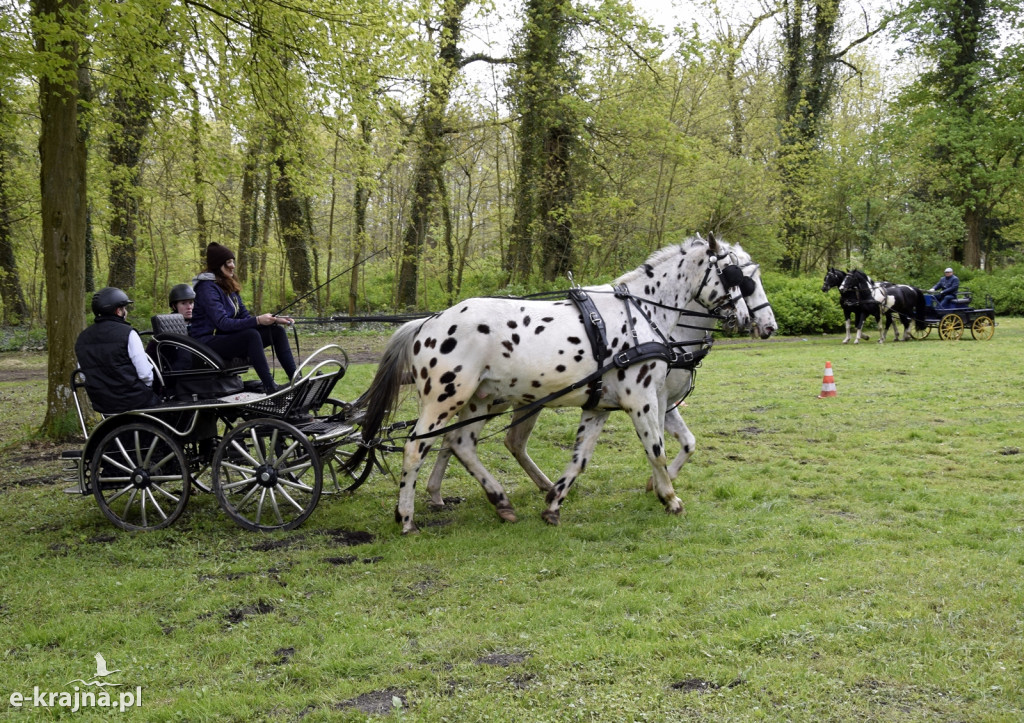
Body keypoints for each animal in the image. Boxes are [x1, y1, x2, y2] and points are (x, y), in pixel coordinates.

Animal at [348, 233, 749, 532]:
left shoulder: (599, 405)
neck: (641, 313)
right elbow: (657, 450)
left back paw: (501, 501)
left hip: (479, 401)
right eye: (733, 274)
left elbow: (581, 458)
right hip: (445, 400)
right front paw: (670, 498)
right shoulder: (642, 399)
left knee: (461, 445)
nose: (747, 319)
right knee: (415, 448)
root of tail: (427, 322)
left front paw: (554, 503)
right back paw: (407, 518)